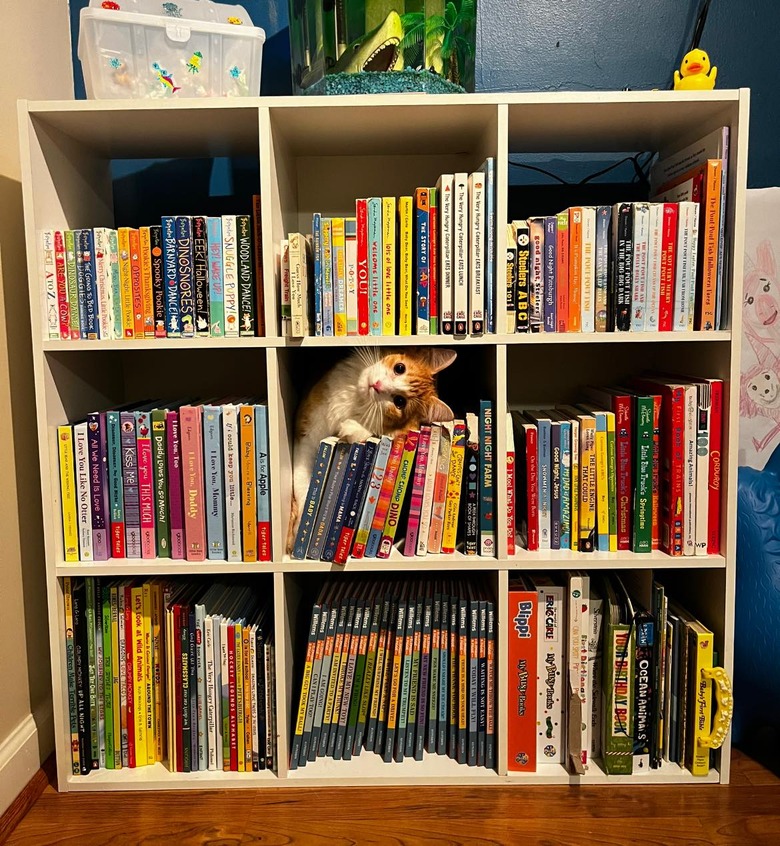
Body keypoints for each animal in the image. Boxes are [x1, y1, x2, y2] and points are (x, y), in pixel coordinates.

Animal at [288, 346, 458, 548]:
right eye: (399, 368)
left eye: (399, 402)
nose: (377, 385)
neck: (355, 398)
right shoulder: (306, 439)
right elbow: (306, 487)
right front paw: (301, 531)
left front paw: (353, 428)